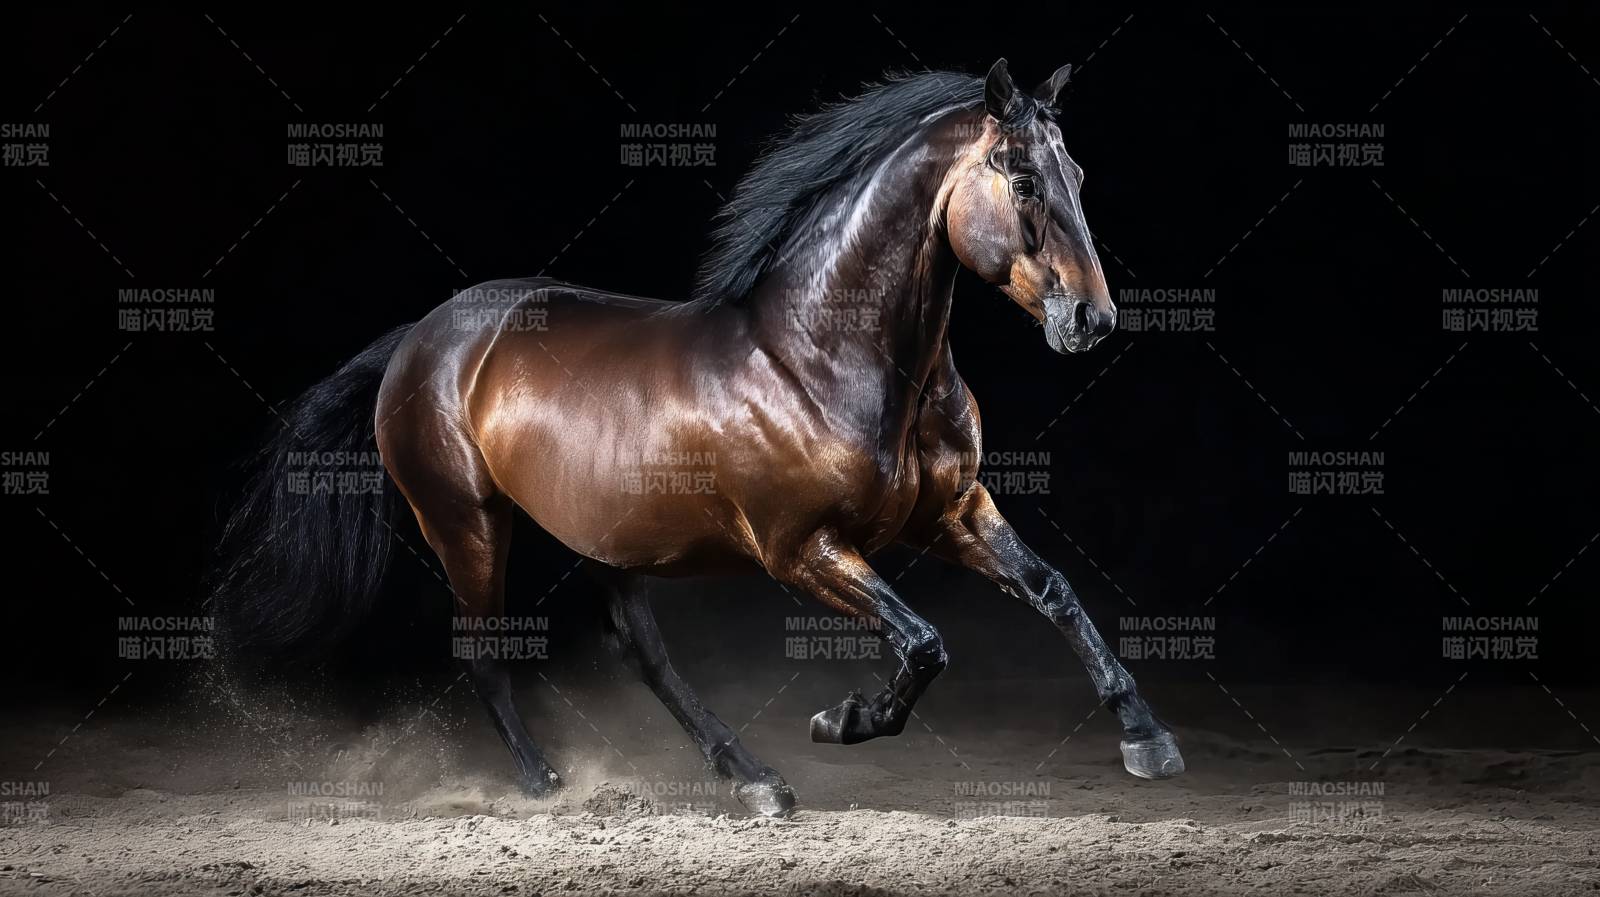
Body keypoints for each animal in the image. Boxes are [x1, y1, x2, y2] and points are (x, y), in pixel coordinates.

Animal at [212, 59, 1183, 818]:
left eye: (1078, 174)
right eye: (1022, 180)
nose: (1092, 320)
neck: (821, 354)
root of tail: (421, 335)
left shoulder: (951, 511)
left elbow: (1054, 591)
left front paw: (1148, 739)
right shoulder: (802, 548)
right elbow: (923, 641)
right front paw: (843, 720)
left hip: (607, 538)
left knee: (643, 652)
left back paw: (754, 780)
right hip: (466, 523)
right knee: (486, 654)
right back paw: (545, 784)